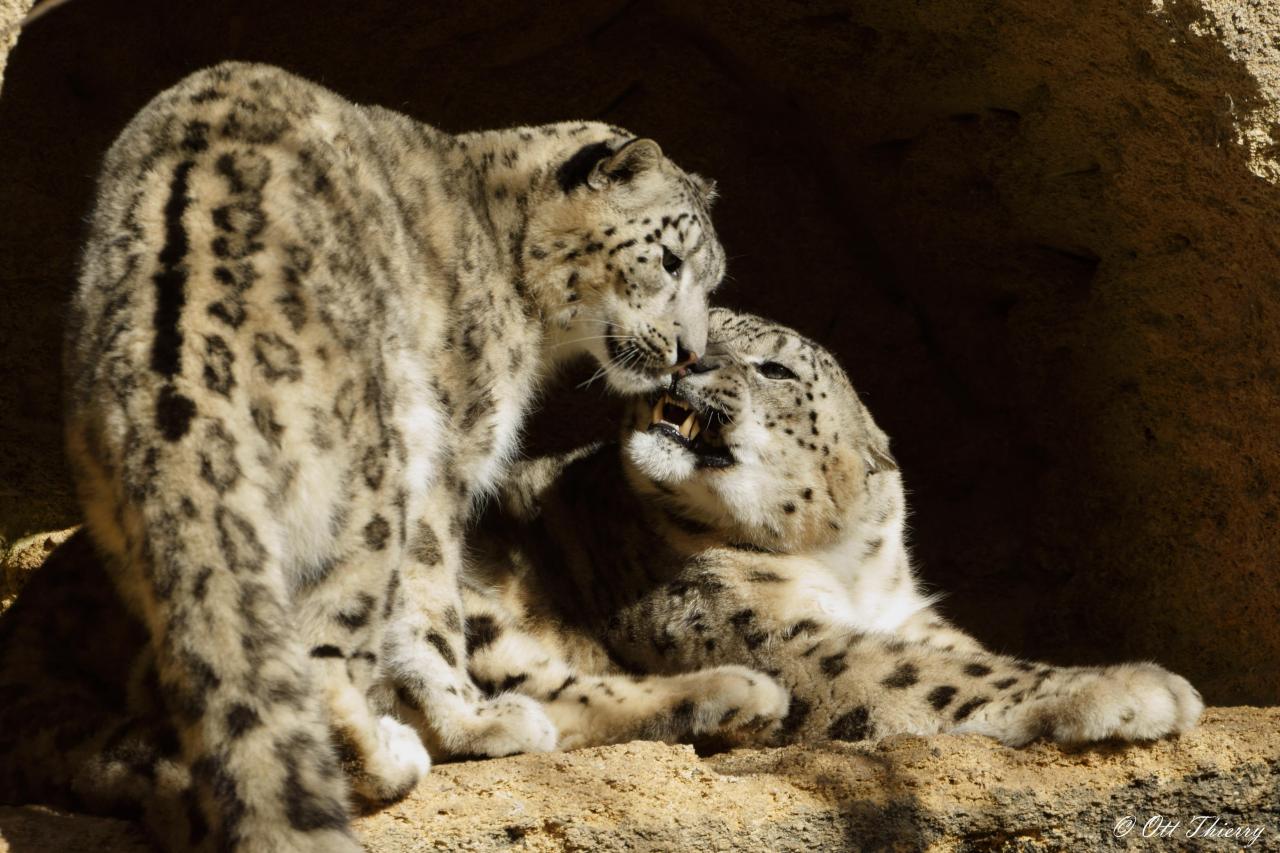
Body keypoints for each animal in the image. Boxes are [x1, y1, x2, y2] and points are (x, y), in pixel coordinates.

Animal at [0, 61, 721, 850]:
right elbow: (433, 608)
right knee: (326, 659)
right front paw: (476, 721)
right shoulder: (450, 463)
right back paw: (392, 749)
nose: (690, 354)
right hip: (369, 491)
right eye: (668, 259)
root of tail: (178, 373)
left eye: (711, 281)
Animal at [458, 306, 1198, 753]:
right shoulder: (755, 625)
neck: (844, 563)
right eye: (698, 325)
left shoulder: (907, 616)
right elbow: (929, 671)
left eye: (775, 368)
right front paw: (1132, 685)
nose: (688, 360)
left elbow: (959, 653)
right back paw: (740, 691)